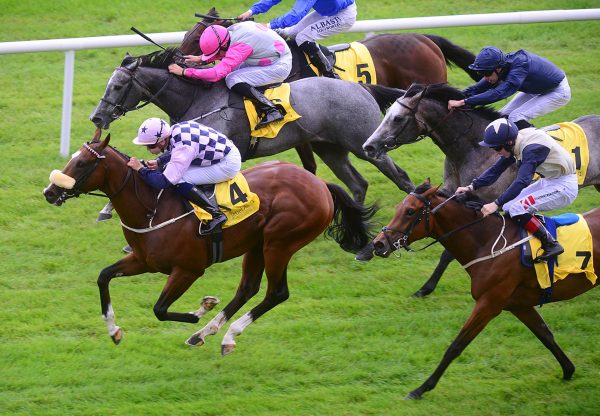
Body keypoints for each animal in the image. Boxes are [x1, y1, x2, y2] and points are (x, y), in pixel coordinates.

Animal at [43, 132, 376, 352]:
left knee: (276, 293)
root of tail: (320, 185)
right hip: (256, 244)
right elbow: (104, 277)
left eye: (83, 163)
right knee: (248, 288)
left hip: (280, 243)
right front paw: (114, 330)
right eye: (72, 159)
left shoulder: (188, 270)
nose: (49, 192)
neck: (153, 206)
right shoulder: (143, 260)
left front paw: (198, 309)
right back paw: (206, 332)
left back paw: (227, 335)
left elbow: (160, 309)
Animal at [89, 48, 412, 203]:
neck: (198, 97)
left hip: (365, 143)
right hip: (329, 148)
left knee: (402, 177)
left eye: (117, 86)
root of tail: (361, 88)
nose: (97, 117)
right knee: (358, 184)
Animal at [360, 82, 600, 296]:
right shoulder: (452, 192)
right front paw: (368, 249)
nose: (368, 146)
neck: (473, 147)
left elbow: (449, 251)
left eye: (398, 118)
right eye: (388, 113)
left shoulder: (485, 203)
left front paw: (425, 288)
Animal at [372, 180, 596, 400]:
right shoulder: (518, 305)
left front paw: (421, 389)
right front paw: (568, 370)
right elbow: (545, 335)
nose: (378, 244)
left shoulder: (489, 303)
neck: (489, 243)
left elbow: (456, 346)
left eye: (410, 211)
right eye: (397, 208)